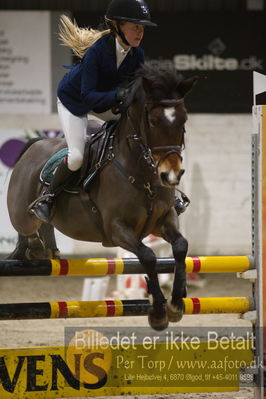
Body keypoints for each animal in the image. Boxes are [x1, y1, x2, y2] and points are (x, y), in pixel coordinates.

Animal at [6, 64, 197, 330]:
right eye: (153, 121)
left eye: (183, 120)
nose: (171, 175)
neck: (143, 174)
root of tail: (36, 144)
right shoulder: (116, 229)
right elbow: (148, 256)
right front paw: (159, 313)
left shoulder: (164, 220)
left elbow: (180, 247)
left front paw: (177, 303)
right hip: (21, 214)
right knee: (27, 225)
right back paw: (36, 243)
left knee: (45, 226)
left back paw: (46, 249)